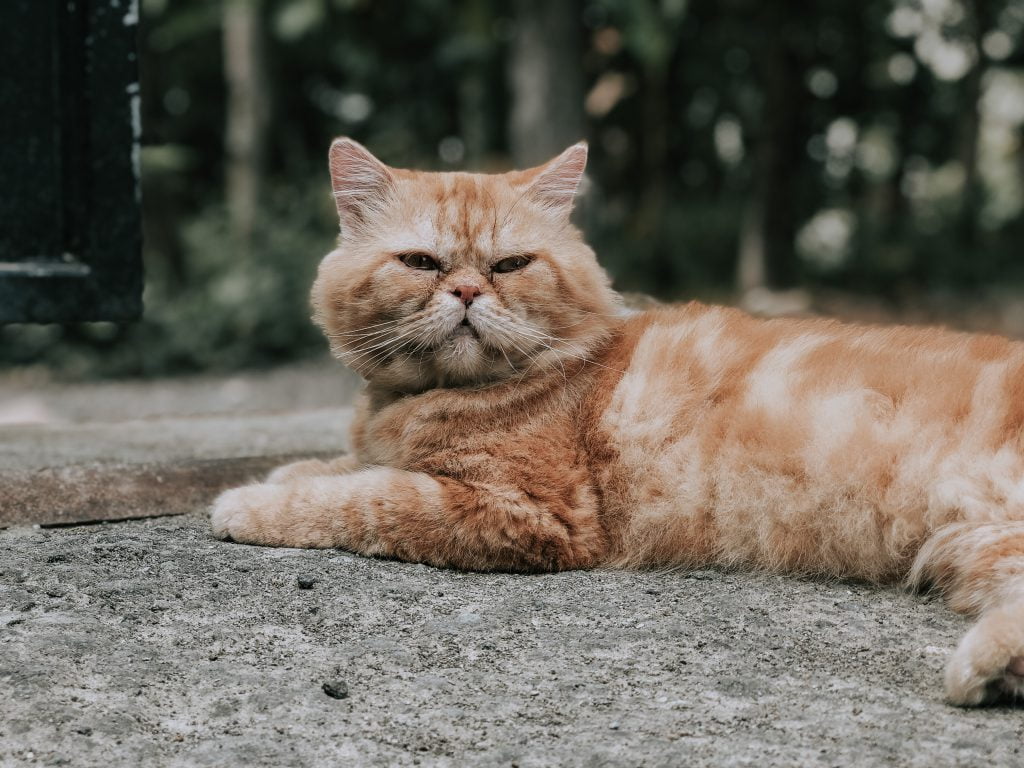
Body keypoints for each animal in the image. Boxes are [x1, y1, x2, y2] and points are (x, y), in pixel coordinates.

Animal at [211, 140, 1024, 708]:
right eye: (421, 262)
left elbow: (360, 498)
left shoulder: (524, 513)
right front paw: (291, 468)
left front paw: (247, 504)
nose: (469, 292)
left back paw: (980, 670)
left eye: (510, 264)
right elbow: (343, 467)